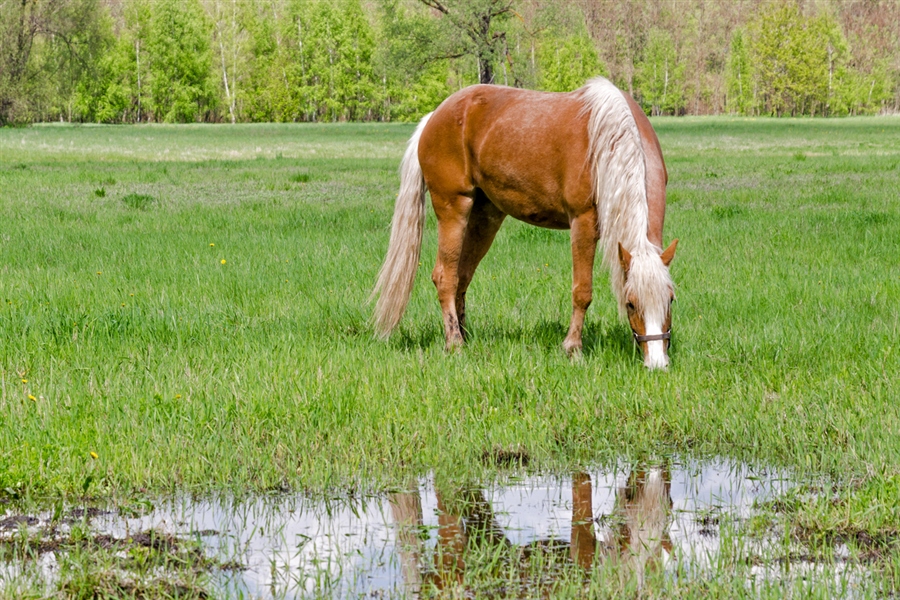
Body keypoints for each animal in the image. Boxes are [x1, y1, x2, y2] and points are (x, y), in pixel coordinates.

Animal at [370, 75, 676, 366]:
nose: (657, 363)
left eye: (671, 300)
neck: (611, 137)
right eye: (630, 304)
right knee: (445, 276)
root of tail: (434, 115)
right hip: (454, 207)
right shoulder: (583, 222)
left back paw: (464, 337)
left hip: (486, 216)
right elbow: (582, 291)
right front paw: (573, 349)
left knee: (462, 276)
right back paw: (454, 343)